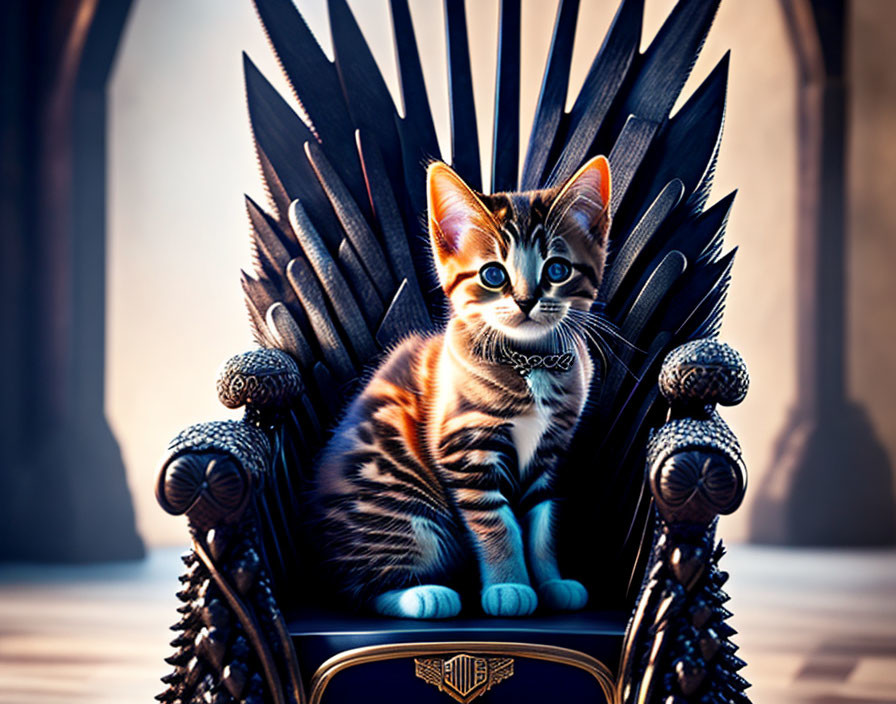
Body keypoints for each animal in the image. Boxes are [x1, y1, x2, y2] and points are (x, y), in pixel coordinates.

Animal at [312, 157, 612, 620]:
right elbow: (497, 523)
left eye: (557, 270)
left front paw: (550, 582)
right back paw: (423, 595)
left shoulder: (549, 453)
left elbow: (542, 522)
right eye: (493, 275)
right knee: (361, 588)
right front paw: (509, 586)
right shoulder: (464, 447)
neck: (532, 363)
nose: (526, 301)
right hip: (400, 509)